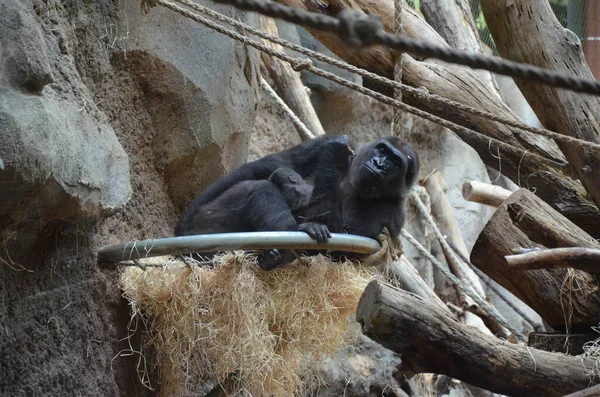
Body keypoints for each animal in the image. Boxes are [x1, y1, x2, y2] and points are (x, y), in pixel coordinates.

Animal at [173, 135, 418, 268]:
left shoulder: (392, 216)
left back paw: (278, 254)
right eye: (382, 149)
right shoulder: (325, 143)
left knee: (259, 190)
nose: (379, 164)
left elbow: (340, 248)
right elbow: (266, 166)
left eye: (395, 162)